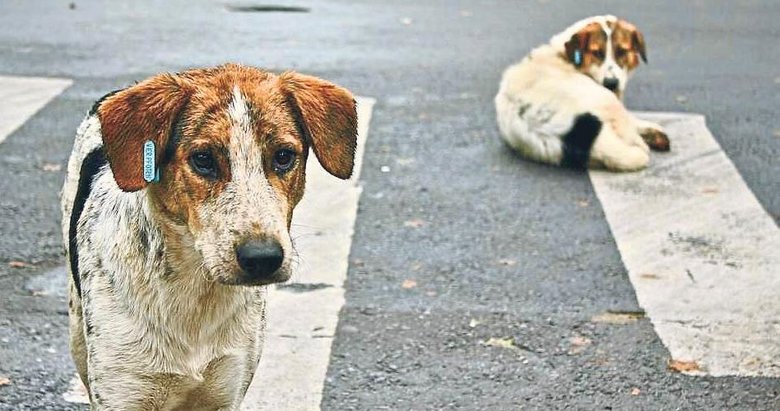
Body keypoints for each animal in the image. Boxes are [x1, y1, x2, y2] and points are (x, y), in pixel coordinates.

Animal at [61, 62, 360, 410]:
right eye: (203, 159)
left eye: (284, 156)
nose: (263, 258)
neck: (196, 293)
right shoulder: (122, 391)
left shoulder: (226, 388)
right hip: (77, 332)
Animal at [494, 15, 672, 171]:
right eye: (597, 53)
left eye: (621, 51)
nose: (611, 83)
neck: (563, 55)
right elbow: (630, 121)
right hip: (605, 99)